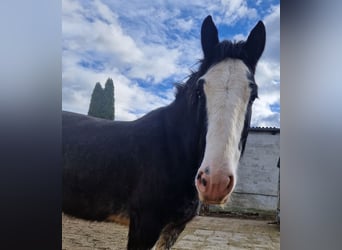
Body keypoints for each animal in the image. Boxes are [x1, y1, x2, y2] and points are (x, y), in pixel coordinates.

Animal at [62, 16, 266, 250]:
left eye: (253, 96)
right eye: (199, 91)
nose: (215, 182)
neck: (172, 150)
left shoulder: (174, 228)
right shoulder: (144, 225)